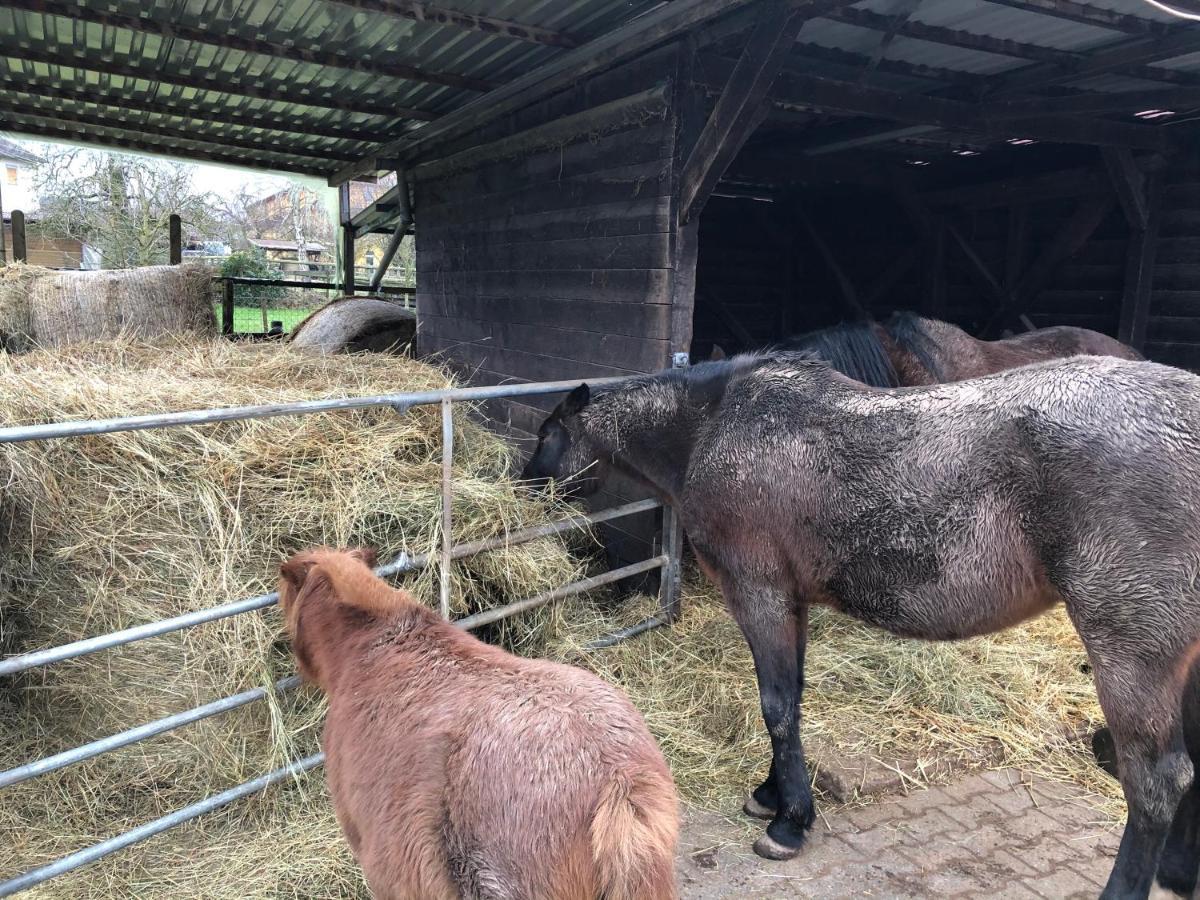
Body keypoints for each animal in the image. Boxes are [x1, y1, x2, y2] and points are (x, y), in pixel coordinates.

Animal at [528, 352, 1200, 900]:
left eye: (548, 432)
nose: (525, 482)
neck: (712, 425)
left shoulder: (759, 595)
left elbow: (776, 706)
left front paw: (789, 823)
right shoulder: (791, 601)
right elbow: (792, 701)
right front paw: (773, 796)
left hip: (1130, 650)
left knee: (1157, 782)